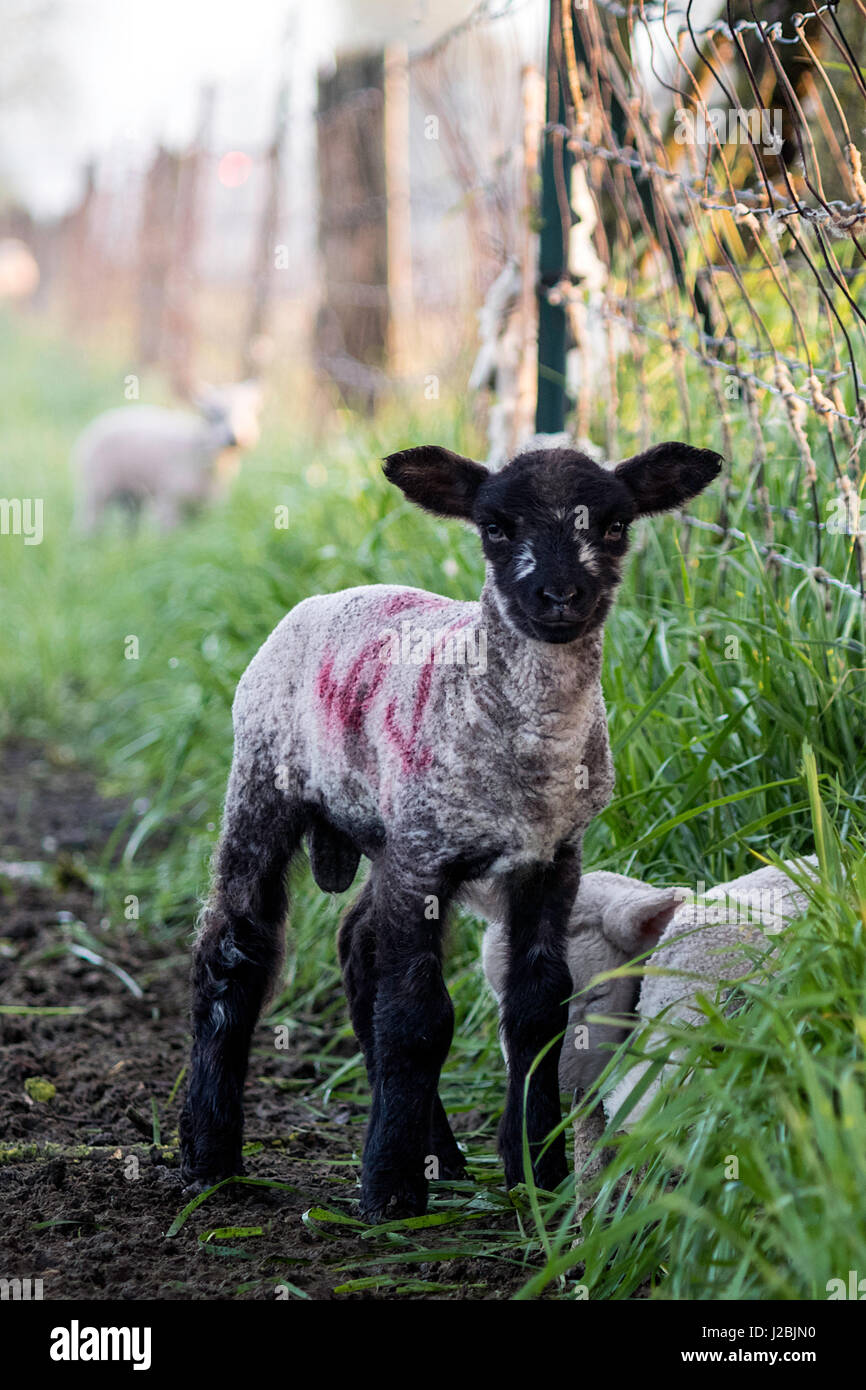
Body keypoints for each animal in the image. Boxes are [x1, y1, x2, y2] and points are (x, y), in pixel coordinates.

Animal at [71, 380, 262, 530]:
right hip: (97, 489)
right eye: (213, 415)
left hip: (130, 497)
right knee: (88, 525)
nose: (235, 438)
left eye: (249, 412)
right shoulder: (170, 499)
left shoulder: (211, 504)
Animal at [179, 433, 722, 1217]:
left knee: (359, 947)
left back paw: (443, 1153)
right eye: (495, 526)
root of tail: (333, 594)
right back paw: (210, 1157)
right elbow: (417, 1020)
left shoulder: (550, 858)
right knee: (232, 949)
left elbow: (537, 1009)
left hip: (387, 834)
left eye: (616, 524)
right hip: (266, 782)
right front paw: (390, 1192)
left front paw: (537, 1173)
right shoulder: (424, 860)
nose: (560, 596)